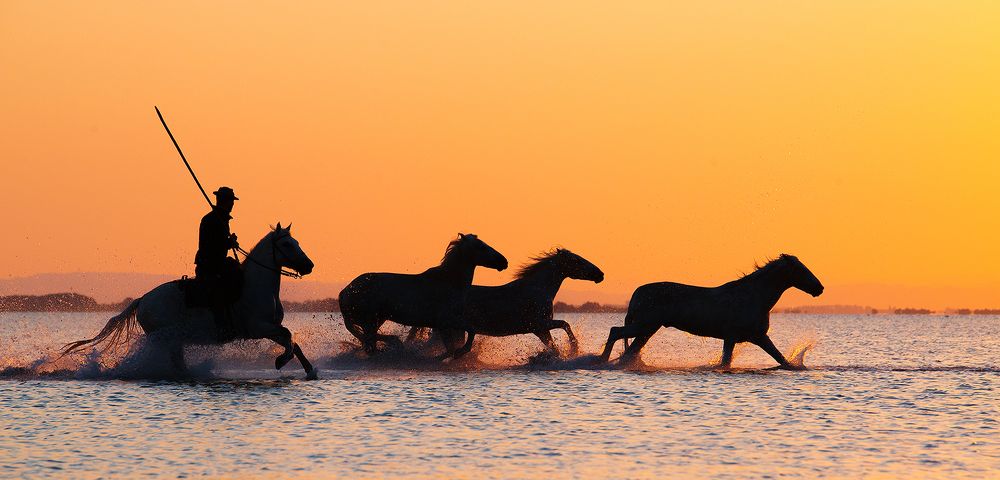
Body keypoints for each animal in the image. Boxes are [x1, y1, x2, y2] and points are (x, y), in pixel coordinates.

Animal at [62, 223, 320, 379]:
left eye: (296, 242)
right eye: (286, 244)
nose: (309, 265)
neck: (254, 286)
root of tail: (143, 300)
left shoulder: (270, 327)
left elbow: (293, 341)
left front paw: (309, 371)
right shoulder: (259, 328)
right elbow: (289, 337)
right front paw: (280, 361)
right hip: (167, 338)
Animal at [338, 233, 508, 359]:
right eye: (481, 247)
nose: (504, 262)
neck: (449, 282)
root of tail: (344, 292)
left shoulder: (447, 324)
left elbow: (463, 338)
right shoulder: (446, 322)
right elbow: (462, 339)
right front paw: (455, 354)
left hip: (376, 320)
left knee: (370, 343)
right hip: (370, 321)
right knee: (371, 343)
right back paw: (396, 345)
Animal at [407, 248, 604, 357]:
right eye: (577, 260)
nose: (600, 274)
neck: (537, 289)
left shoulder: (541, 330)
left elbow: (554, 345)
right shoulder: (539, 325)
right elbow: (565, 324)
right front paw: (574, 349)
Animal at [599, 254, 823, 369]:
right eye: (801, 269)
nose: (819, 288)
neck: (755, 297)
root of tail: (637, 293)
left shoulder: (758, 336)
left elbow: (780, 358)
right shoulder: (733, 336)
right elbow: (725, 362)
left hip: (648, 329)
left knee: (629, 350)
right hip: (645, 325)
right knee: (615, 332)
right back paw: (600, 361)